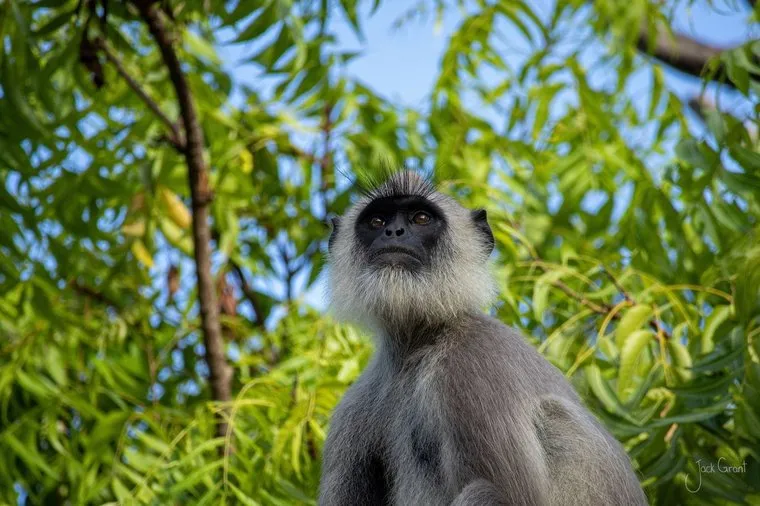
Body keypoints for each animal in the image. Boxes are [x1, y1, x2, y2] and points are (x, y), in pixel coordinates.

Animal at [319, 170, 648, 506]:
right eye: (376, 221)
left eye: (421, 218)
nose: (394, 232)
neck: (417, 346)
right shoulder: (353, 409)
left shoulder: (472, 362)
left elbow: (510, 496)